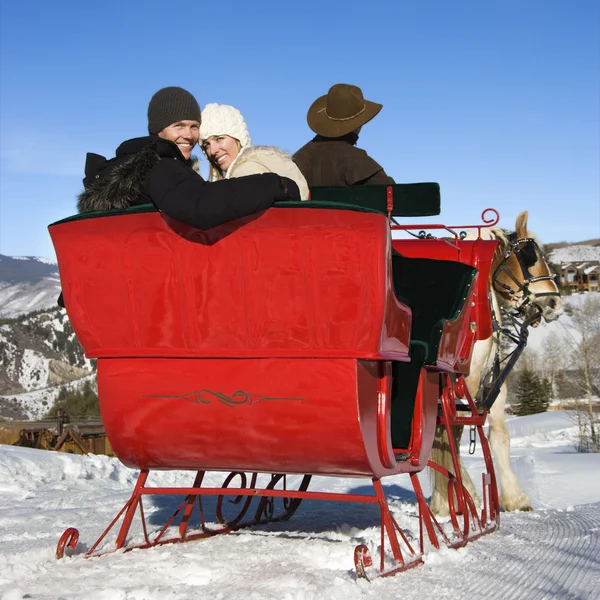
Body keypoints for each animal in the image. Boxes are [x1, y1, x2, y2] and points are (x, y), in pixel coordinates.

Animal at [432, 212, 564, 516]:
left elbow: (498, 436)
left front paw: (514, 497)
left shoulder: (492, 383)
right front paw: (452, 498)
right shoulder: (459, 385)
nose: (555, 303)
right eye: (530, 257)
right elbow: (450, 431)